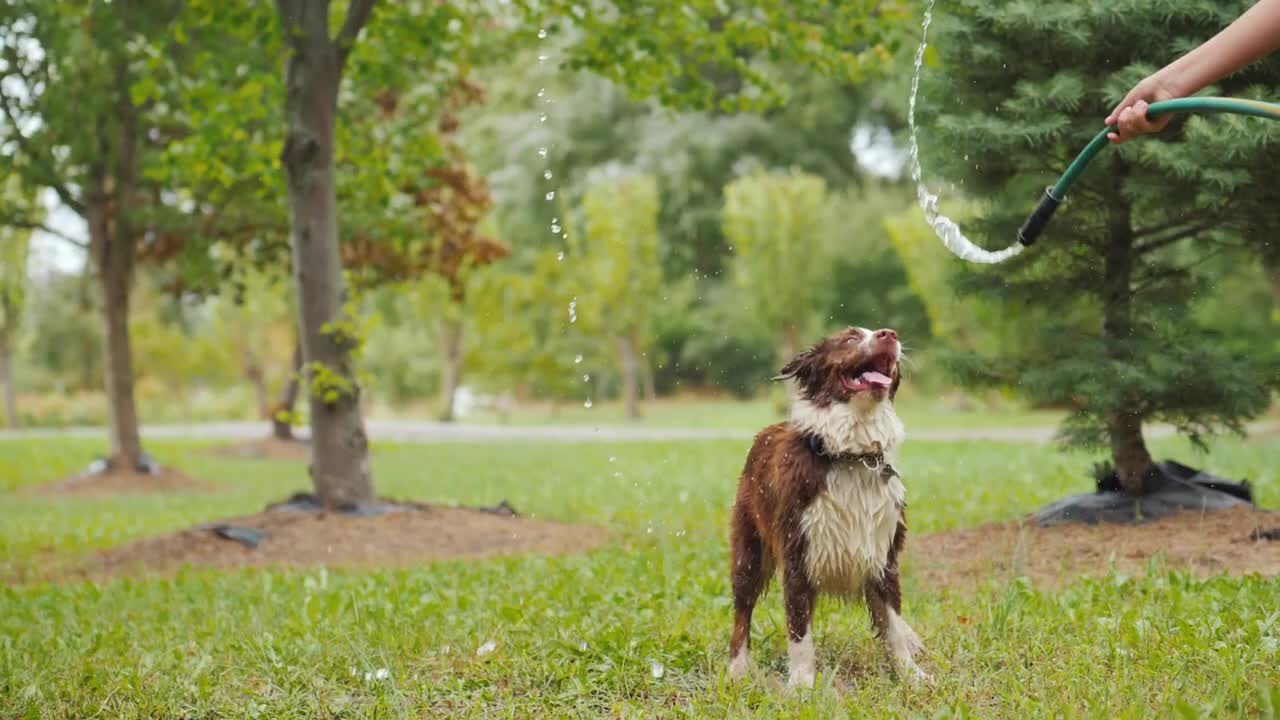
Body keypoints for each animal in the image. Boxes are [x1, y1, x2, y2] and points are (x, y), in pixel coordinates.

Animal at [727, 324, 926, 681]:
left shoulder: (884, 556)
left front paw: (911, 675)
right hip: (749, 551)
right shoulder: (797, 556)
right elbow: (799, 634)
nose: (890, 334)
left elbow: (893, 625)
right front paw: (802, 684)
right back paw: (737, 669)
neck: (852, 455)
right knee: (742, 613)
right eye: (850, 338)